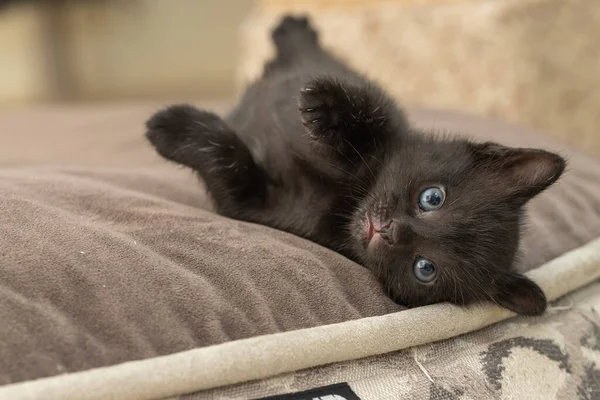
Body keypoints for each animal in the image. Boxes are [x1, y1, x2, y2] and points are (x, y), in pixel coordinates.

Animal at [144, 14, 564, 316]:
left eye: (425, 268)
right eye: (433, 198)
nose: (389, 230)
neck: (347, 199)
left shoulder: (254, 202)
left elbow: (230, 162)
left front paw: (172, 129)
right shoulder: (390, 123)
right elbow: (370, 112)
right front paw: (328, 109)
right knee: (302, 56)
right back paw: (293, 29)